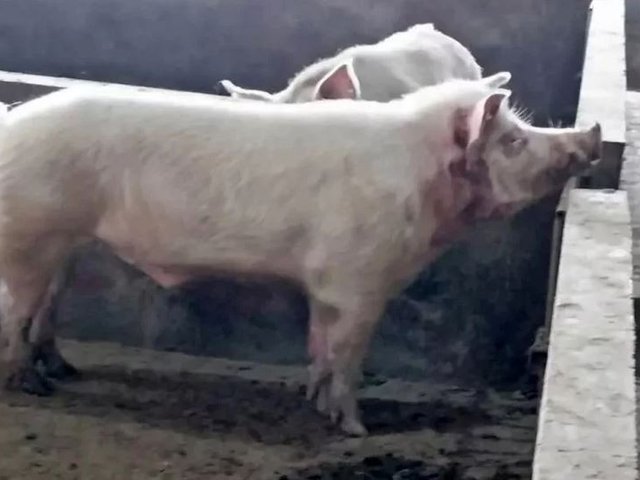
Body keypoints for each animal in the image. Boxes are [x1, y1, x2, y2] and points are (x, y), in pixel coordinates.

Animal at [0, 71, 601, 437]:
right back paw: (31, 386)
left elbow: (321, 344)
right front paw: (357, 428)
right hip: (30, 234)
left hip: (58, 243)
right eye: (514, 142)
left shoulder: (327, 286)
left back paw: (60, 373)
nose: (592, 132)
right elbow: (350, 356)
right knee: (16, 313)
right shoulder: (361, 281)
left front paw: (315, 404)